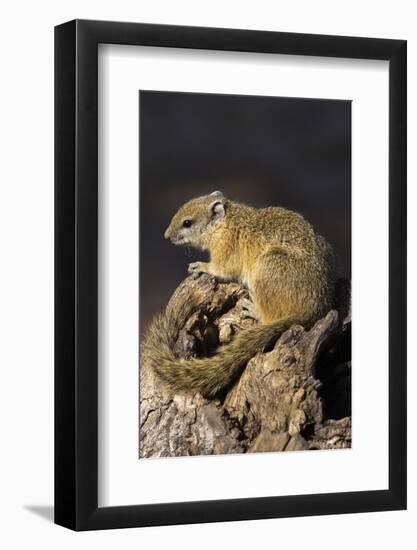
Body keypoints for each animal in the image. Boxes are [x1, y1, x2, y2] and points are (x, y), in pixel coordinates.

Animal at [142, 192, 334, 398]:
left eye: (187, 223)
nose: (166, 235)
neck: (226, 222)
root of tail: (313, 311)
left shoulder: (226, 251)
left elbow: (221, 269)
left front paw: (201, 266)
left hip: (267, 266)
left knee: (268, 317)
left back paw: (252, 309)